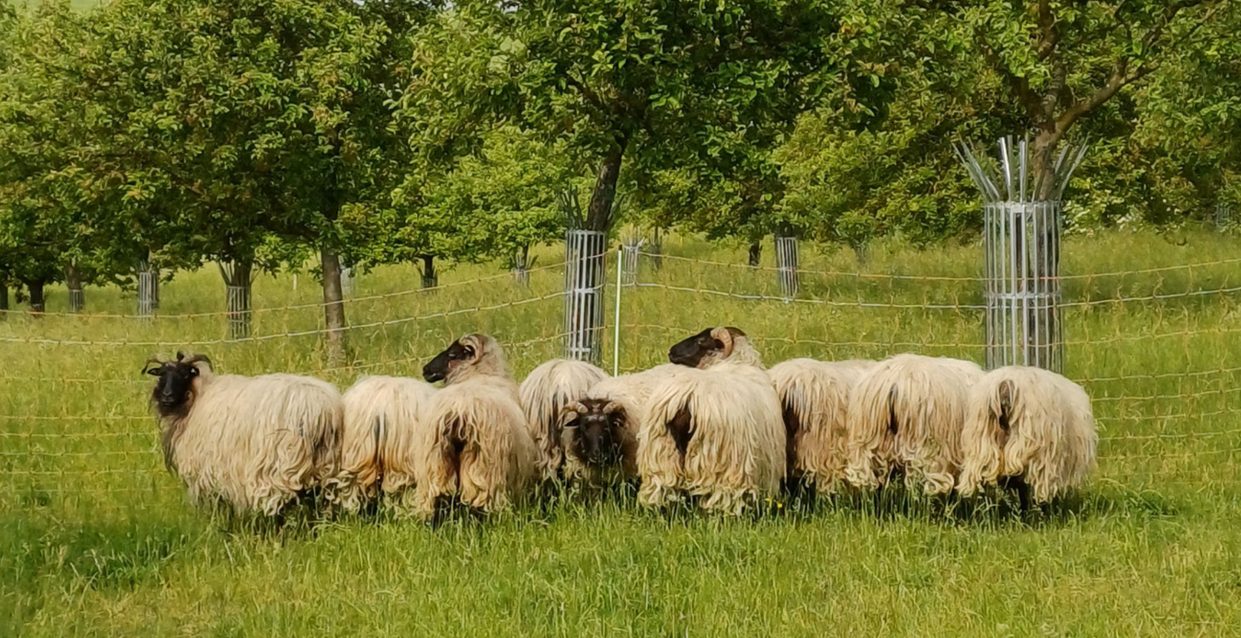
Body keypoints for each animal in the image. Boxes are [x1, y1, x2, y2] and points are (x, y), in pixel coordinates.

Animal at [143, 352, 343, 519]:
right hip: (325, 465)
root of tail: (319, 410)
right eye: (161, 374)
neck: (195, 399)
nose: (167, 396)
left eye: (185, 374)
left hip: (278, 467)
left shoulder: (202, 471)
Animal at [412, 334, 538, 518]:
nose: (425, 369)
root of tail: (457, 415)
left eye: (452, 354)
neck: (477, 373)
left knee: (439, 499)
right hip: (484, 468)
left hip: (435, 464)